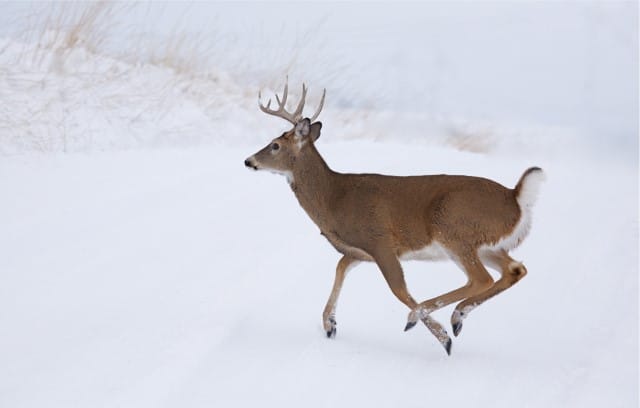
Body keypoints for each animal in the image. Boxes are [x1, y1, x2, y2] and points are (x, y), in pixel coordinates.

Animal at [242, 79, 544, 354]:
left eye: (274, 145)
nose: (248, 161)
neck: (334, 199)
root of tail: (515, 198)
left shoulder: (381, 241)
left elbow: (398, 290)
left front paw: (441, 337)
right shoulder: (359, 250)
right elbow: (340, 267)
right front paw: (329, 325)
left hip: (455, 230)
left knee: (481, 278)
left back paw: (435, 319)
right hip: (488, 244)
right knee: (515, 269)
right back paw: (457, 317)